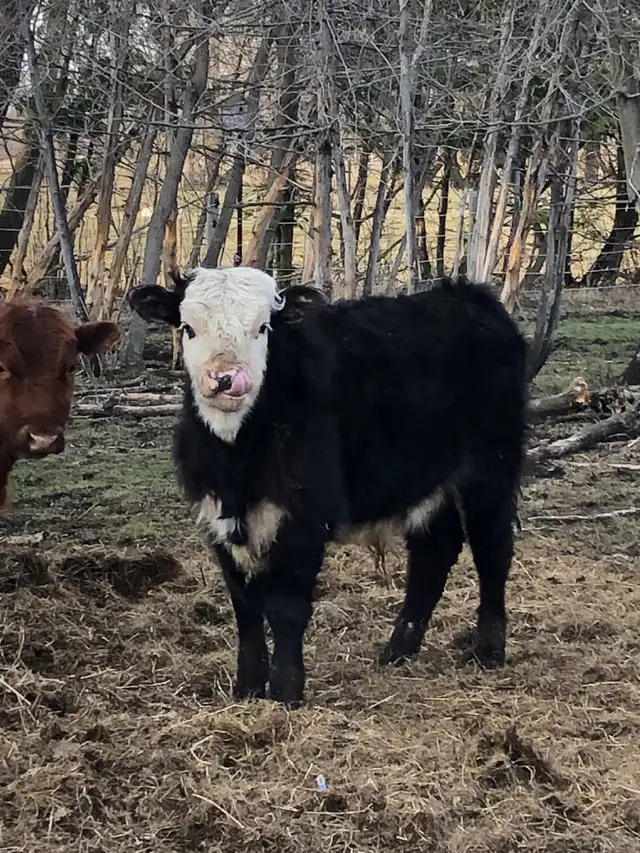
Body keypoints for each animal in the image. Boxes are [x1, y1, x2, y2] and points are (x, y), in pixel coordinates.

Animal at [128, 267, 527, 708]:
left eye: (263, 327)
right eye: (188, 328)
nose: (226, 379)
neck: (238, 459)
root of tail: (469, 296)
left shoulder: (305, 516)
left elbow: (285, 606)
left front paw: (286, 692)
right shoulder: (217, 517)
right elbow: (244, 606)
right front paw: (248, 687)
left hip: (491, 465)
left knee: (492, 549)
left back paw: (488, 649)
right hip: (429, 477)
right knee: (434, 552)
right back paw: (398, 650)